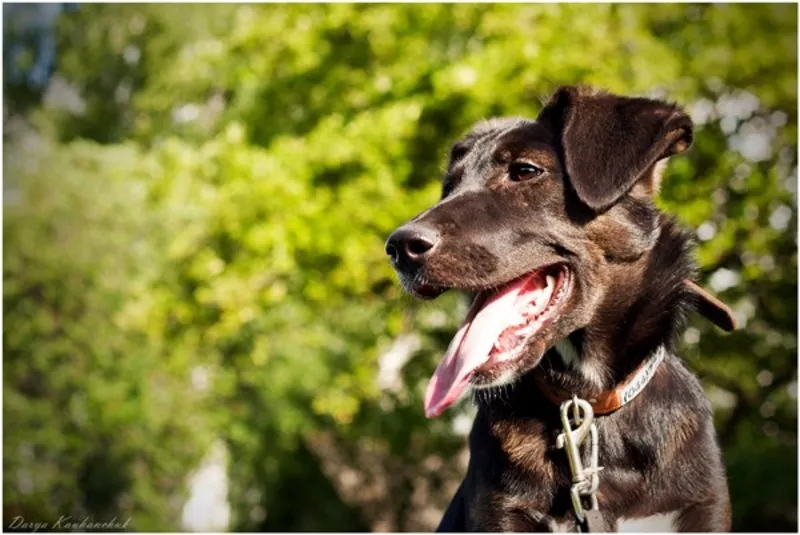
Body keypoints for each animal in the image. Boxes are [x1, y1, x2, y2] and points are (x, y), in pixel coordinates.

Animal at [384, 87, 736, 532]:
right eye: (449, 187)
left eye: (525, 171)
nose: (398, 248)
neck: (589, 405)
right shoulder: (501, 512)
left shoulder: (701, 509)